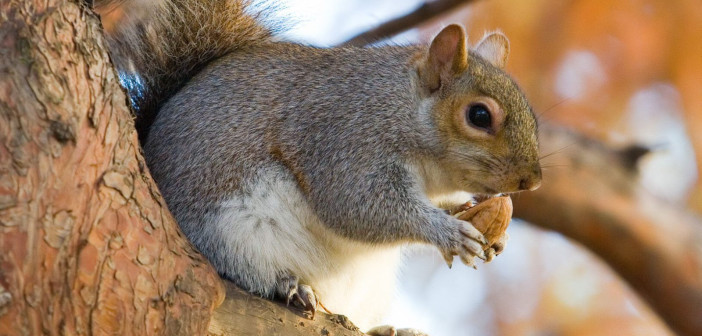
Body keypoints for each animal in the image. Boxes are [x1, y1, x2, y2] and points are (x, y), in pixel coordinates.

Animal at [96, 0, 540, 332]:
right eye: (479, 115)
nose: (532, 181)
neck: (400, 108)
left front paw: (486, 228)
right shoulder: (345, 140)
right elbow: (356, 206)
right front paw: (448, 232)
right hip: (229, 232)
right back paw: (289, 286)